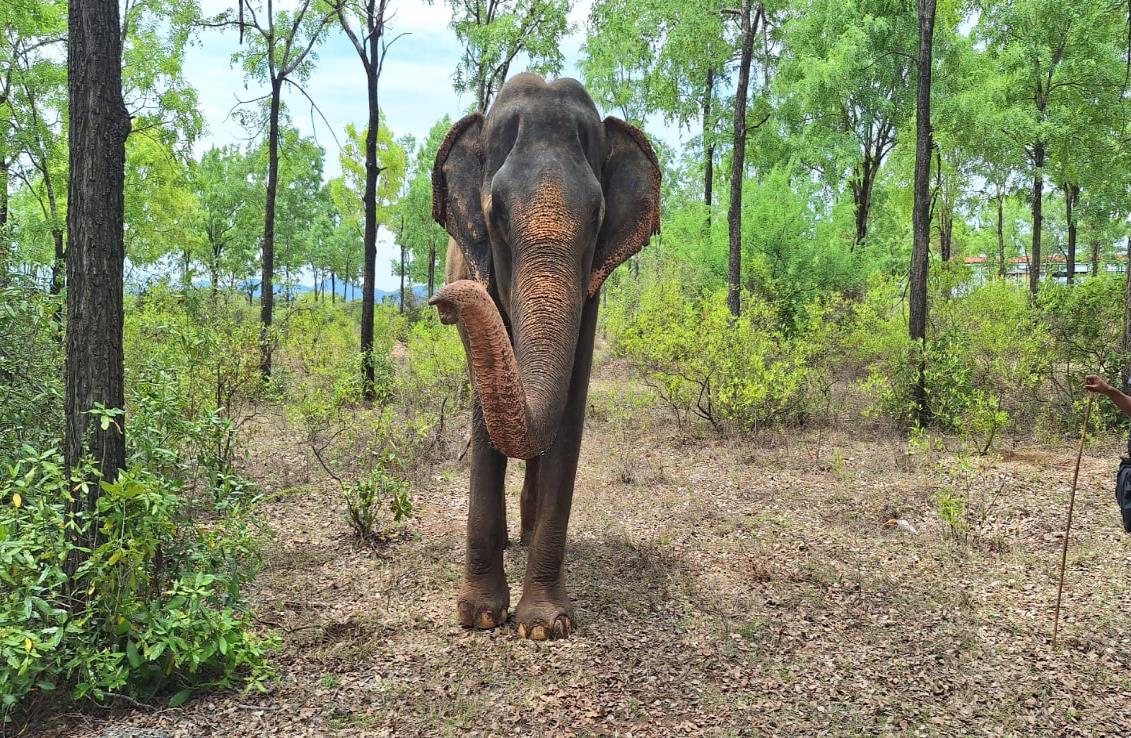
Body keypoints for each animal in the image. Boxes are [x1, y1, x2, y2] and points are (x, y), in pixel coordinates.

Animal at [428, 73, 661, 640]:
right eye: (494, 212)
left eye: (598, 215)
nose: (442, 301)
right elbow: (484, 416)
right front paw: (480, 616)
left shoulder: (593, 285)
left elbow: (570, 410)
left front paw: (543, 625)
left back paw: (529, 535)